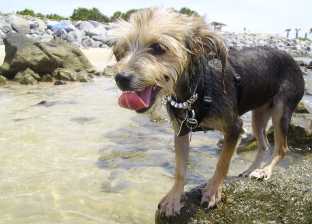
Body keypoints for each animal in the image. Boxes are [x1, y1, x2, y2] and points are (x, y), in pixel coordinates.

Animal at [108, 7, 304, 217]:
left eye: (158, 48)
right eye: (123, 50)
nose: (121, 78)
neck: (196, 88)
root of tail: (294, 60)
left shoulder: (235, 127)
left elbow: (223, 163)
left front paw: (213, 190)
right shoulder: (181, 131)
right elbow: (180, 169)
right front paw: (174, 197)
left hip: (281, 109)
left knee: (281, 148)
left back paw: (265, 171)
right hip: (259, 114)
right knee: (264, 144)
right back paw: (251, 169)